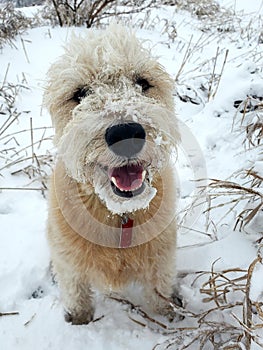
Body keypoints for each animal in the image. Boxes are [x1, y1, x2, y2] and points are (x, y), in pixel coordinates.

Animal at [44, 23, 182, 326]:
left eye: (142, 82)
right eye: (80, 93)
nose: (125, 132)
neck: (119, 215)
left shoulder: (162, 256)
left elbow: (160, 288)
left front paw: (169, 314)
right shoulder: (69, 261)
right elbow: (75, 289)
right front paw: (79, 320)